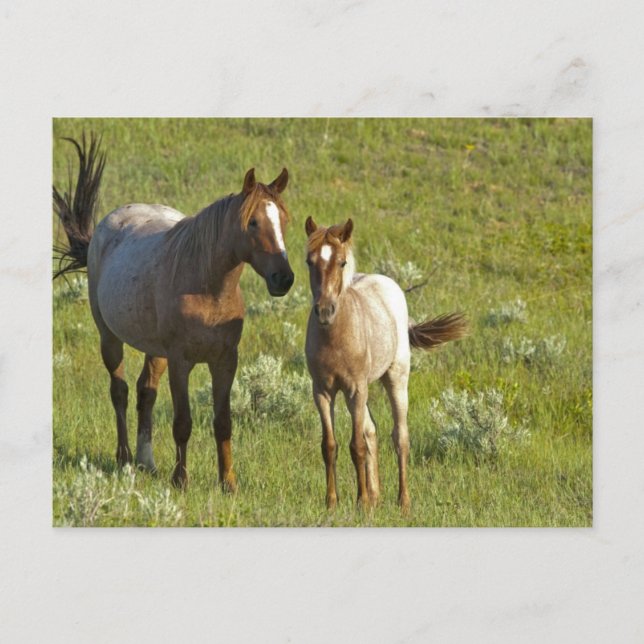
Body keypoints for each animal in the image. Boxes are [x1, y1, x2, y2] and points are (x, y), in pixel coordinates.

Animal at [53, 134, 294, 490]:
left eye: (284, 222)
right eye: (252, 222)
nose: (284, 278)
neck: (209, 289)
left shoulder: (225, 360)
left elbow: (223, 422)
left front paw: (228, 483)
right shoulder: (181, 361)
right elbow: (183, 422)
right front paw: (181, 479)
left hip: (156, 351)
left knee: (146, 392)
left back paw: (147, 462)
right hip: (109, 337)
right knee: (120, 391)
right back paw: (125, 459)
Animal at [304, 216, 467, 510]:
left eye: (342, 262)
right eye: (309, 261)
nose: (324, 311)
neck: (336, 338)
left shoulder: (355, 389)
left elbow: (356, 445)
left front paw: (360, 501)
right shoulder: (322, 391)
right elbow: (330, 445)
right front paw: (333, 502)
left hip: (395, 379)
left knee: (399, 436)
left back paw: (403, 502)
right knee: (372, 431)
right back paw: (376, 497)